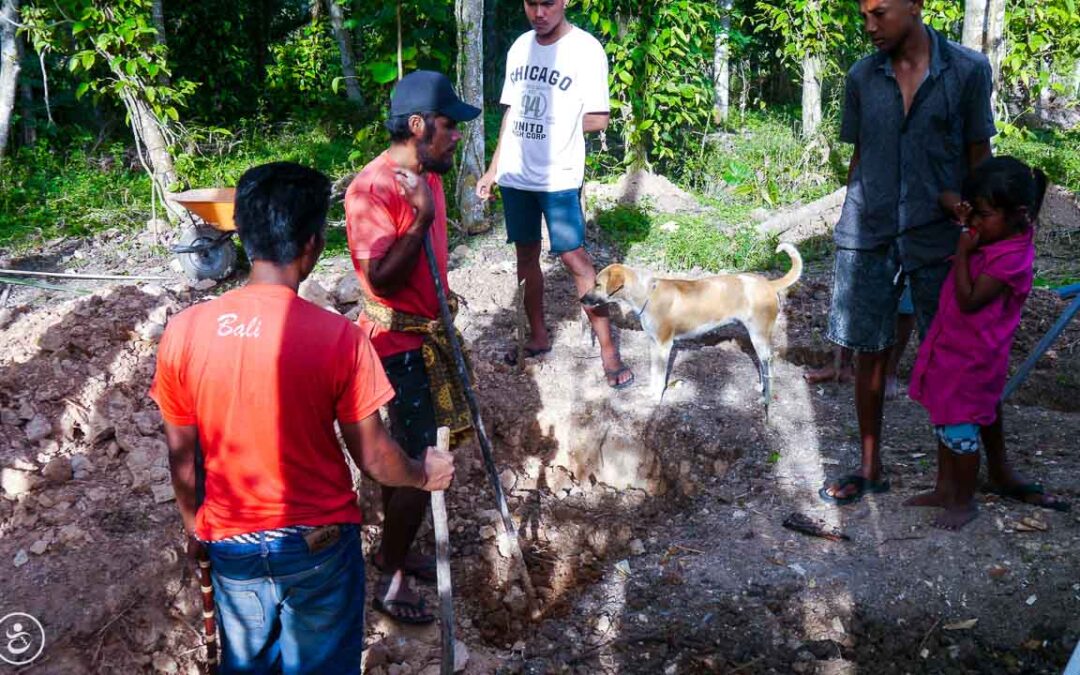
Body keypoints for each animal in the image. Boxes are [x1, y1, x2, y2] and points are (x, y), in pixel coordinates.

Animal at [583, 243, 803, 406]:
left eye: (597, 284)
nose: (581, 299)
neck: (647, 294)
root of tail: (768, 284)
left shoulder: (664, 346)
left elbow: (660, 376)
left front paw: (656, 398)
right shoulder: (654, 345)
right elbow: (654, 373)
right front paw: (651, 392)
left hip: (759, 337)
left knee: (769, 365)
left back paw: (767, 397)